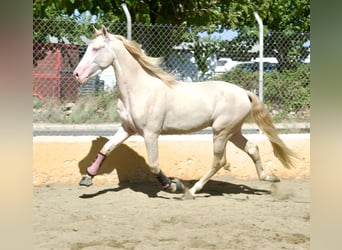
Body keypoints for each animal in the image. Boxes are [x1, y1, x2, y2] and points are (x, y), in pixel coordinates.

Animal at [73, 24, 296, 197]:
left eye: (96, 49)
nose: (77, 75)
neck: (139, 90)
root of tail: (244, 92)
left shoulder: (151, 133)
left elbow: (153, 164)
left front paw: (173, 186)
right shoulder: (127, 128)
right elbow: (107, 148)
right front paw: (87, 178)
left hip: (221, 131)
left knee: (219, 161)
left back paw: (193, 190)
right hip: (233, 131)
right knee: (252, 148)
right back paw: (269, 177)